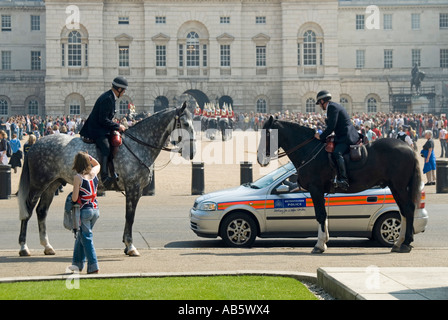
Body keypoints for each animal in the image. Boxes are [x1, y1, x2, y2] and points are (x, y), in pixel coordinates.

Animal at [17, 104, 196, 258]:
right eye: (186, 123)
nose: (192, 153)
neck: (137, 145)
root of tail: (36, 144)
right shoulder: (133, 188)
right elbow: (130, 216)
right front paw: (130, 246)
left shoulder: (135, 190)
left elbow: (129, 216)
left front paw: (126, 245)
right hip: (38, 184)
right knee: (28, 211)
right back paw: (24, 247)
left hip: (52, 184)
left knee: (42, 211)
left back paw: (47, 246)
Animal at [258, 116, 422, 254]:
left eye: (268, 134)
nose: (260, 159)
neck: (309, 150)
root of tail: (407, 147)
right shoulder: (319, 191)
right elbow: (323, 215)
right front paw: (324, 241)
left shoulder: (315, 189)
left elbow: (320, 214)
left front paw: (319, 245)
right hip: (395, 187)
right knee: (403, 211)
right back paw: (399, 242)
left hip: (399, 187)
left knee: (408, 209)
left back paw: (406, 243)